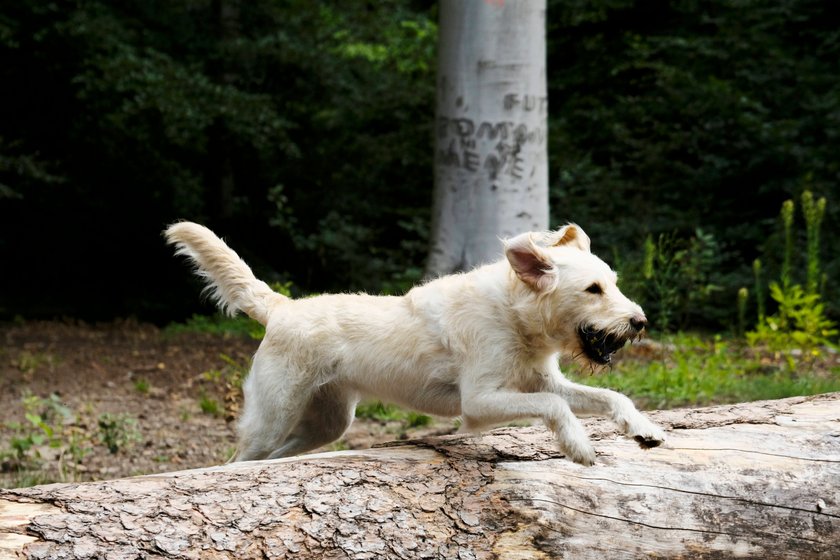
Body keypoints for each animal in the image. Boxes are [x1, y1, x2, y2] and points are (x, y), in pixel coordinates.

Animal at [164, 222, 664, 464]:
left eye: (613, 283)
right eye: (593, 290)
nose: (640, 322)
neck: (513, 315)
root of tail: (282, 308)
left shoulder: (543, 382)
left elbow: (610, 396)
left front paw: (644, 429)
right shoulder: (480, 403)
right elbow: (556, 408)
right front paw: (579, 447)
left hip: (327, 425)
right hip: (273, 418)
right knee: (235, 462)